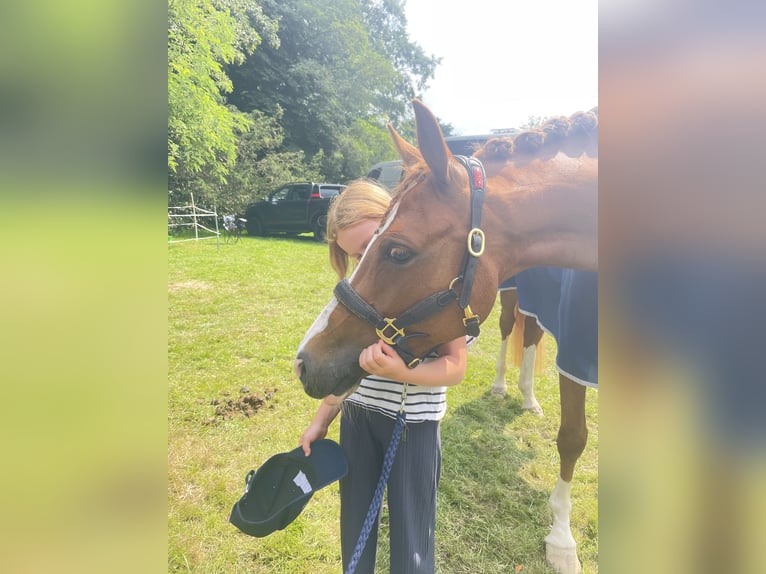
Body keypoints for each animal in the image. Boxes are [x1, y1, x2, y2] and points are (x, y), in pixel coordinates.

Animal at [296, 101, 600, 572]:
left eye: (397, 251)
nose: (304, 361)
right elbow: (573, 437)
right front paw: (564, 541)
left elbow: (574, 438)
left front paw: (562, 543)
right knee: (518, 329)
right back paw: (512, 390)